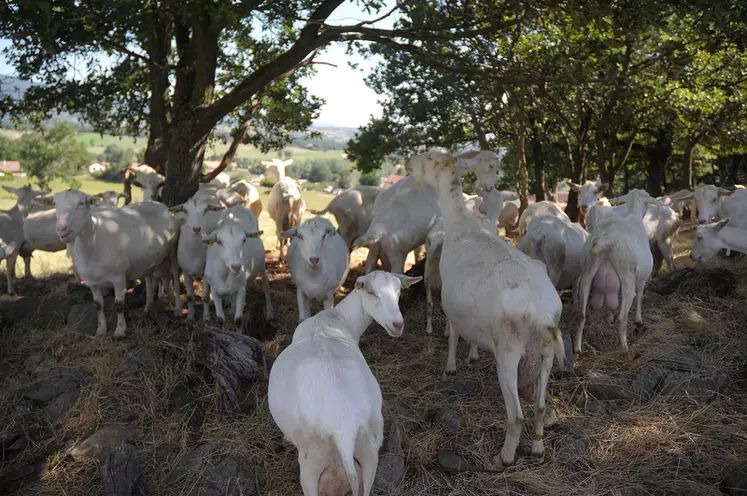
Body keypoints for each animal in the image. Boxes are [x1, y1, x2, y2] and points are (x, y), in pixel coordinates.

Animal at [39, 190, 181, 338]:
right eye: (55, 204)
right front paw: (101, 330)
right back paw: (147, 308)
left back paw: (177, 310)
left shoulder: (118, 277)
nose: (61, 229)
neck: (93, 243)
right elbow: (97, 305)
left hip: (174, 251)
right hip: (148, 260)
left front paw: (120, 331)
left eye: (82, 203)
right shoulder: (92, 282)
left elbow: (118, 305)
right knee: (149, 282)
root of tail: (162, 206)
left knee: (176, 280)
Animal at [268, 272, 420, 496]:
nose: (397, 324)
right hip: (370, 455)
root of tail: (344, 429)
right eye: (371, 292)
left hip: (311, 463)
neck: (335, 319)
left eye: (399, 291)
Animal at [410, 149, 560, 466]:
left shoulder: (451, 301)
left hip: (509, 353)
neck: (459, 222)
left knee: (516, 416)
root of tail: (541, 314)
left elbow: (453, 334)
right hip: (546, 353)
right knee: (540, 406)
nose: (407, 163)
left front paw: (451, 367)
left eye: (429, 157)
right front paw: (471, 356)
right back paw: (538, 449)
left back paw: (504, 457)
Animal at [576, 190, 656, 356]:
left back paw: (577, 348)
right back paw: (625, 349)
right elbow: (640, 298)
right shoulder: (642, 280)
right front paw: (639, 320)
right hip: (627, 277)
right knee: (622, 318)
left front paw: (609, 317)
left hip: (587, 274)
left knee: (581, 314)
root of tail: (606, 244)